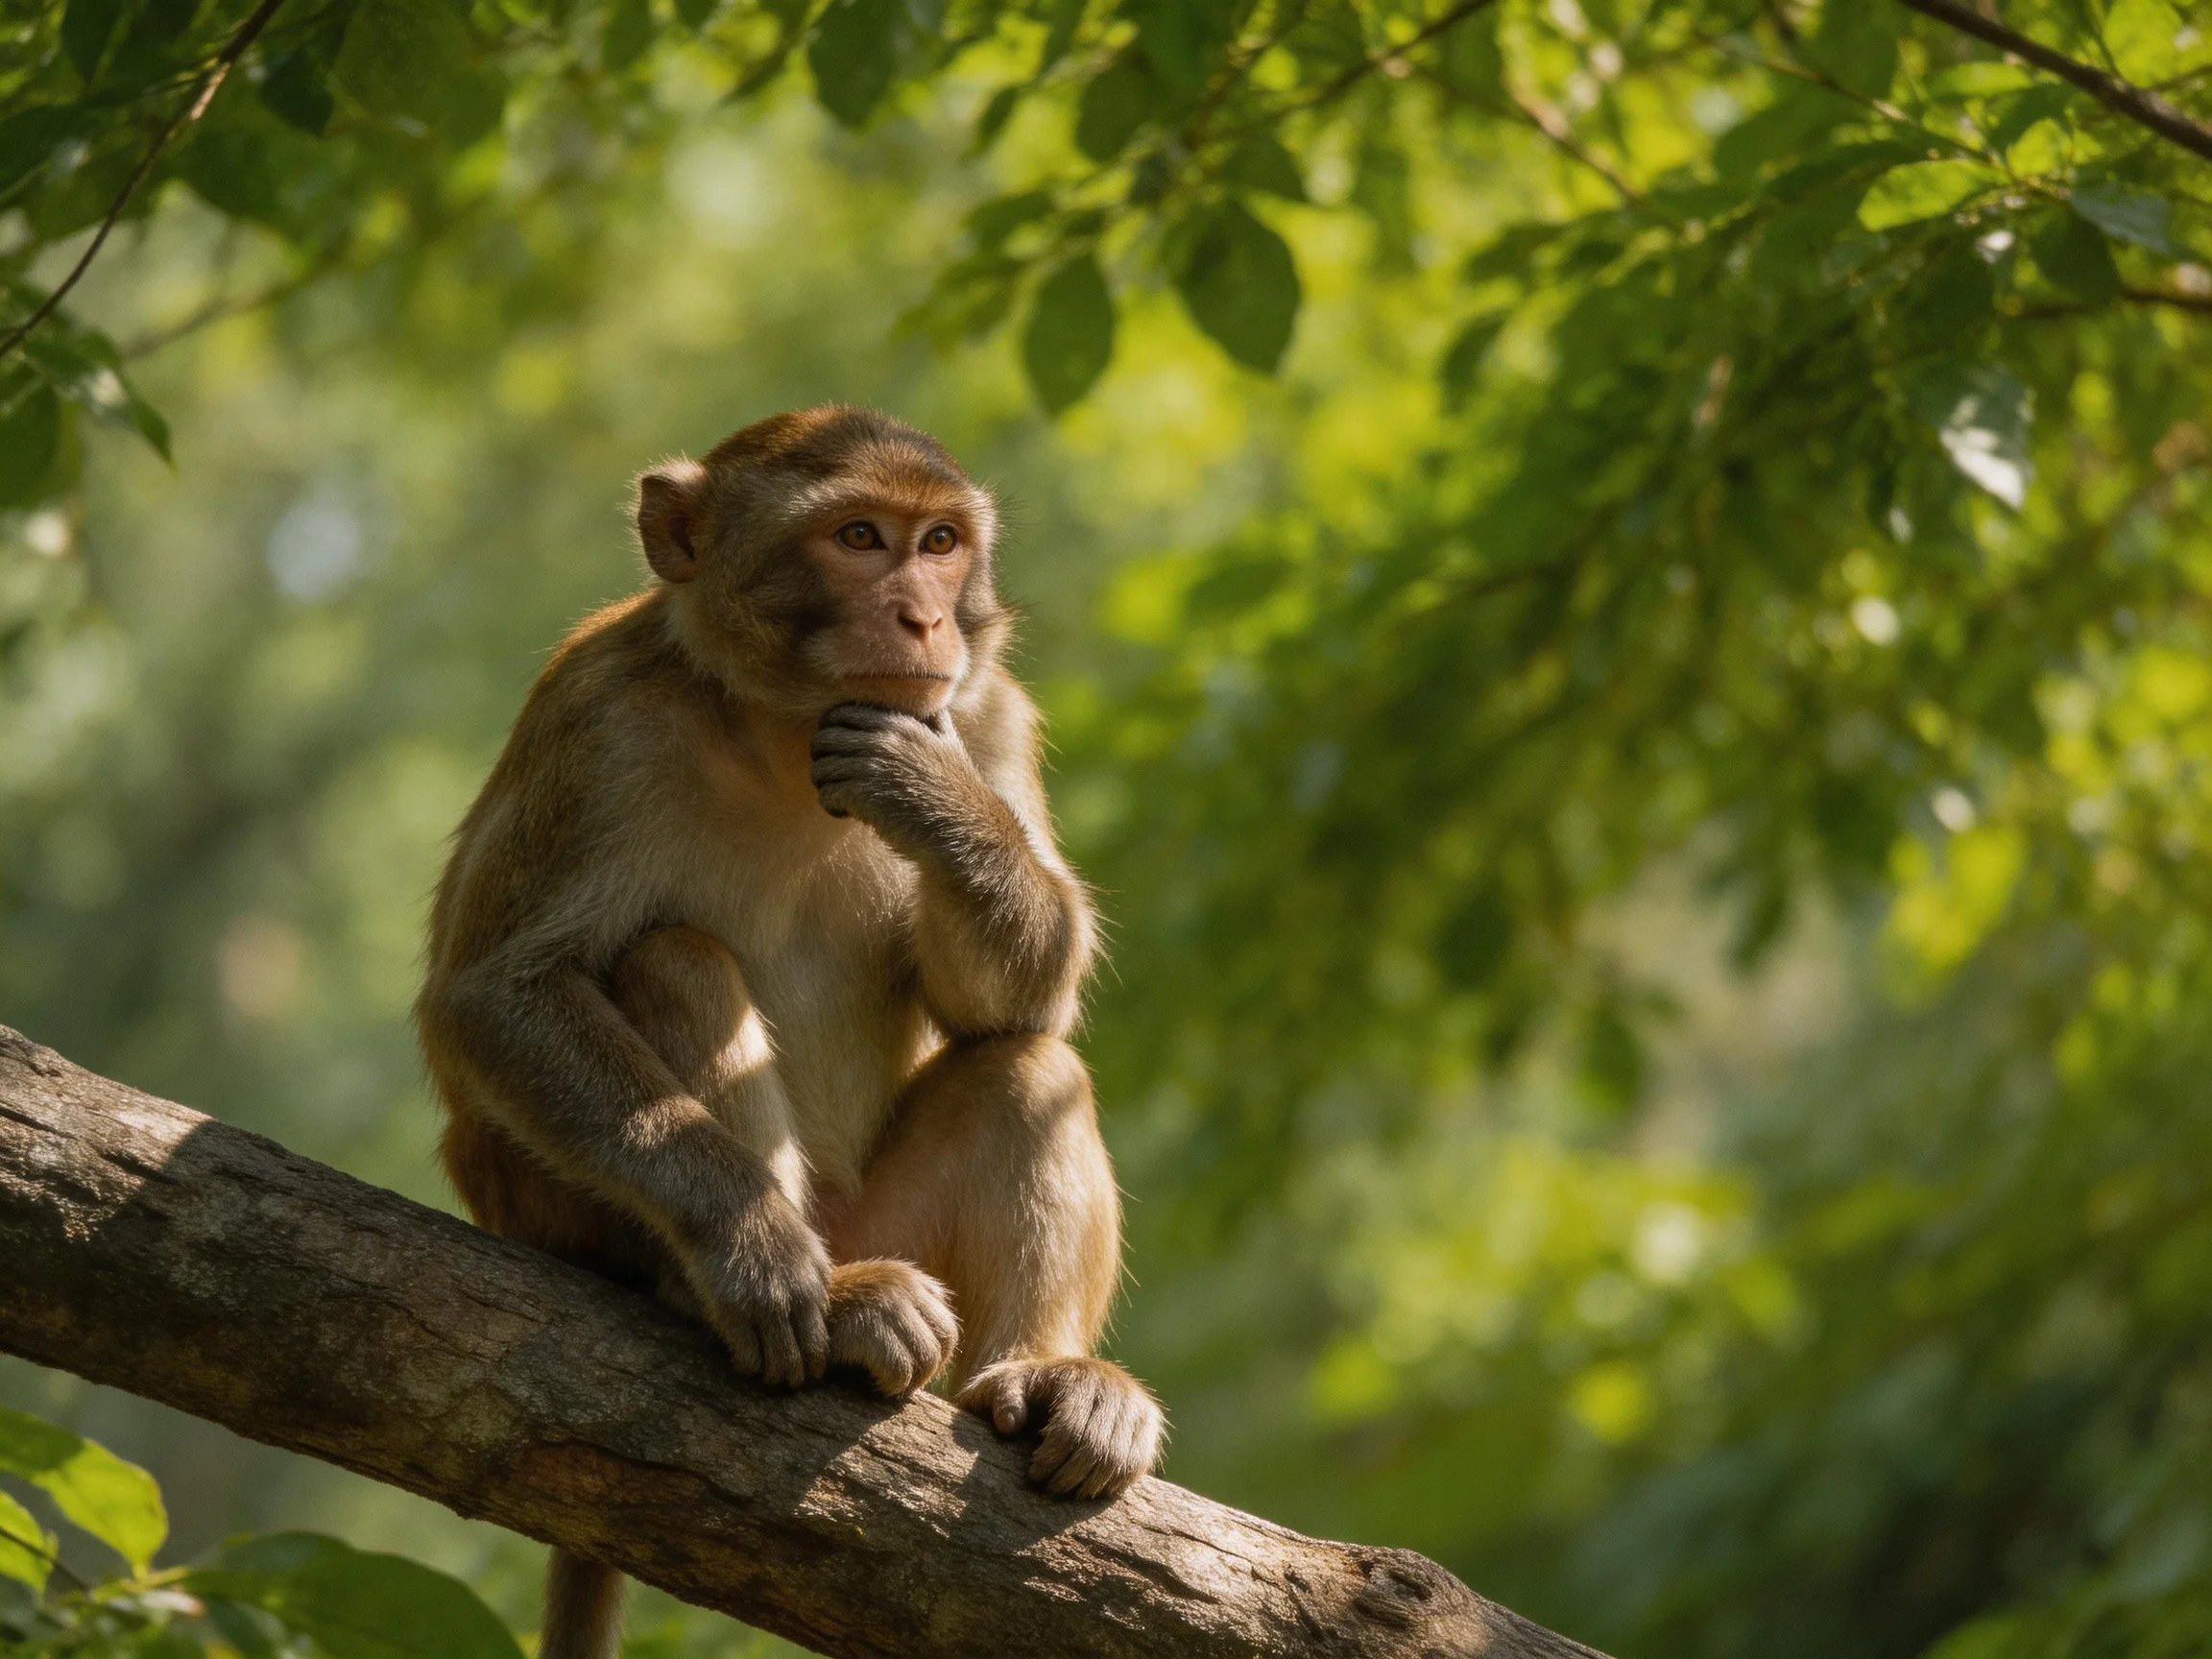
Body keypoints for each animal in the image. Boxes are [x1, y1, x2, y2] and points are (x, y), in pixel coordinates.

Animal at [414, 406, 1164, 1659]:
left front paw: (939, 798)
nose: (920, 618)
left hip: (887, 1214)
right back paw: (788, 1290)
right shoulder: (598, 719)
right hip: (559, 1214)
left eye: (941, 542)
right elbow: (494, 992)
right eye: (859, 538)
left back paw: (1046, 1378)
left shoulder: (988, 708)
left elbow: (1019, 1006)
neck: (775, 728)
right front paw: (749, 1248)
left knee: (1026, 1068)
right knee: (670, 959)